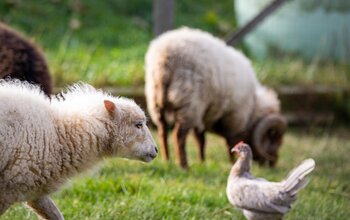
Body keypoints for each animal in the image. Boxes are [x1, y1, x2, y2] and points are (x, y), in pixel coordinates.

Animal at [0, 80, 157, 219]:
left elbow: (55, 214)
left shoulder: (33, 189)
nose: (156, 150)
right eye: (138, 125)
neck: (58, 134)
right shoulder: (9, 189)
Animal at [145, 27, 288, 168]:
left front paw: (202, 162)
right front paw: (232, 161)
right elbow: (230, 142)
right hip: (188, 103)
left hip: (157, 102)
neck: (252, 109)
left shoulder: (203, 114)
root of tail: (165, 55)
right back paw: (183, 165)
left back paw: (166, 160)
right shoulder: (233, 117)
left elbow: (201, 140)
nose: (273, 163)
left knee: (162, 132)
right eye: (275, 139)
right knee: (179, 135)